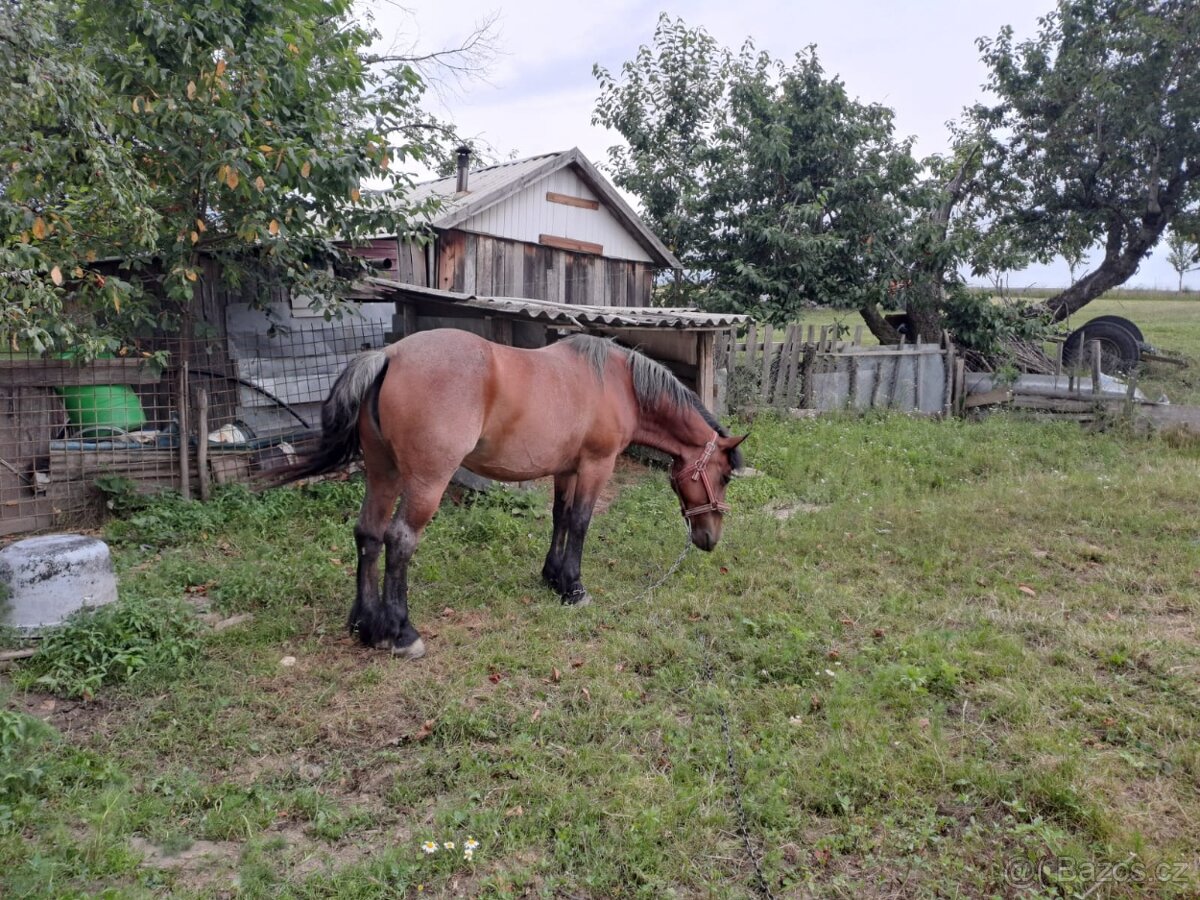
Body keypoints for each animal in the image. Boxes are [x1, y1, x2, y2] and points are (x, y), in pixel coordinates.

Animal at [282, 328, 744, 657]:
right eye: (723, 476)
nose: (710, 538)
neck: (619, 383)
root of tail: (389, 356)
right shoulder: (596, 466)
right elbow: (581, 522)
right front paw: (575, 588)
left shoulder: (566, 469)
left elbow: (560, 518)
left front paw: (553, 577)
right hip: (426, 481)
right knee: (399, 539)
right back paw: (401, 632)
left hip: (383, 472)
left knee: (369, 535)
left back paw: (367, 626)